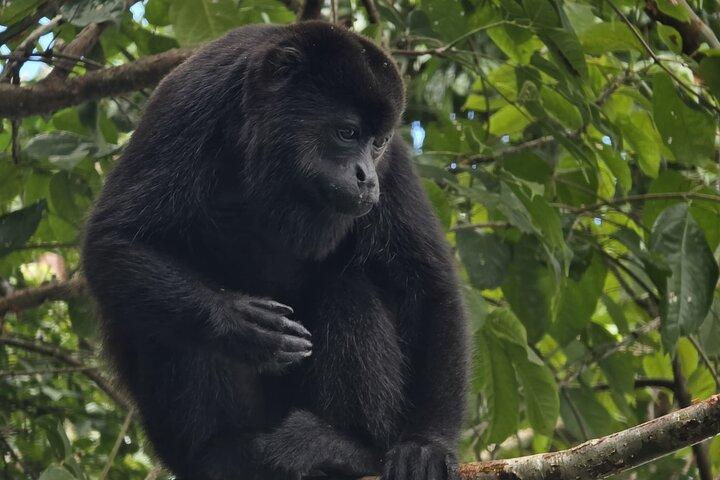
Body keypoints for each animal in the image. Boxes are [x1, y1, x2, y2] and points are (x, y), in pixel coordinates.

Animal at [83, 21, 468, 480]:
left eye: (378, 142)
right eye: (347, 133)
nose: (366, 177)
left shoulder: (393, 165)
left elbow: (425, 287)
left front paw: (426, 444)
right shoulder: (189, 104)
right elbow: (116, 239)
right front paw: (234, 322)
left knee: (348, 288)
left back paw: (342, 447)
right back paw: (221, 454)